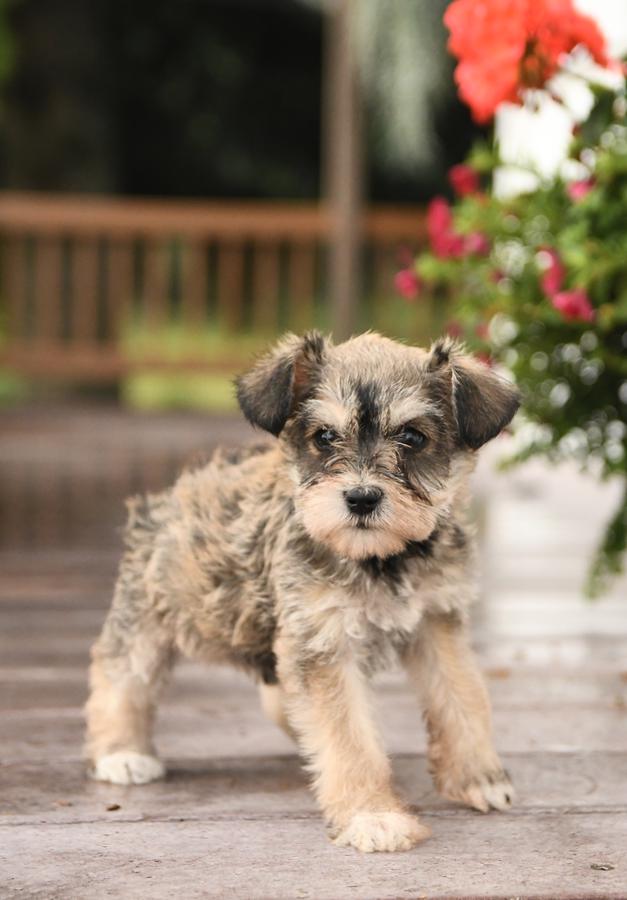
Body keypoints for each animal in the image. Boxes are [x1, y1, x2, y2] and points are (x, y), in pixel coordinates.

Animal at [87, 330, 520, 852]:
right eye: (325, 437)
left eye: (412, 437)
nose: (361, 498)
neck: (380, 559)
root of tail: (172, 495)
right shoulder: (324, 645)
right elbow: (349, 737)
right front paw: (373, 816)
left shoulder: (437, 622)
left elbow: (462, 697)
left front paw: (480, 778)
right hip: (146, 619)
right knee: (121, 676)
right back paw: (122, 752)